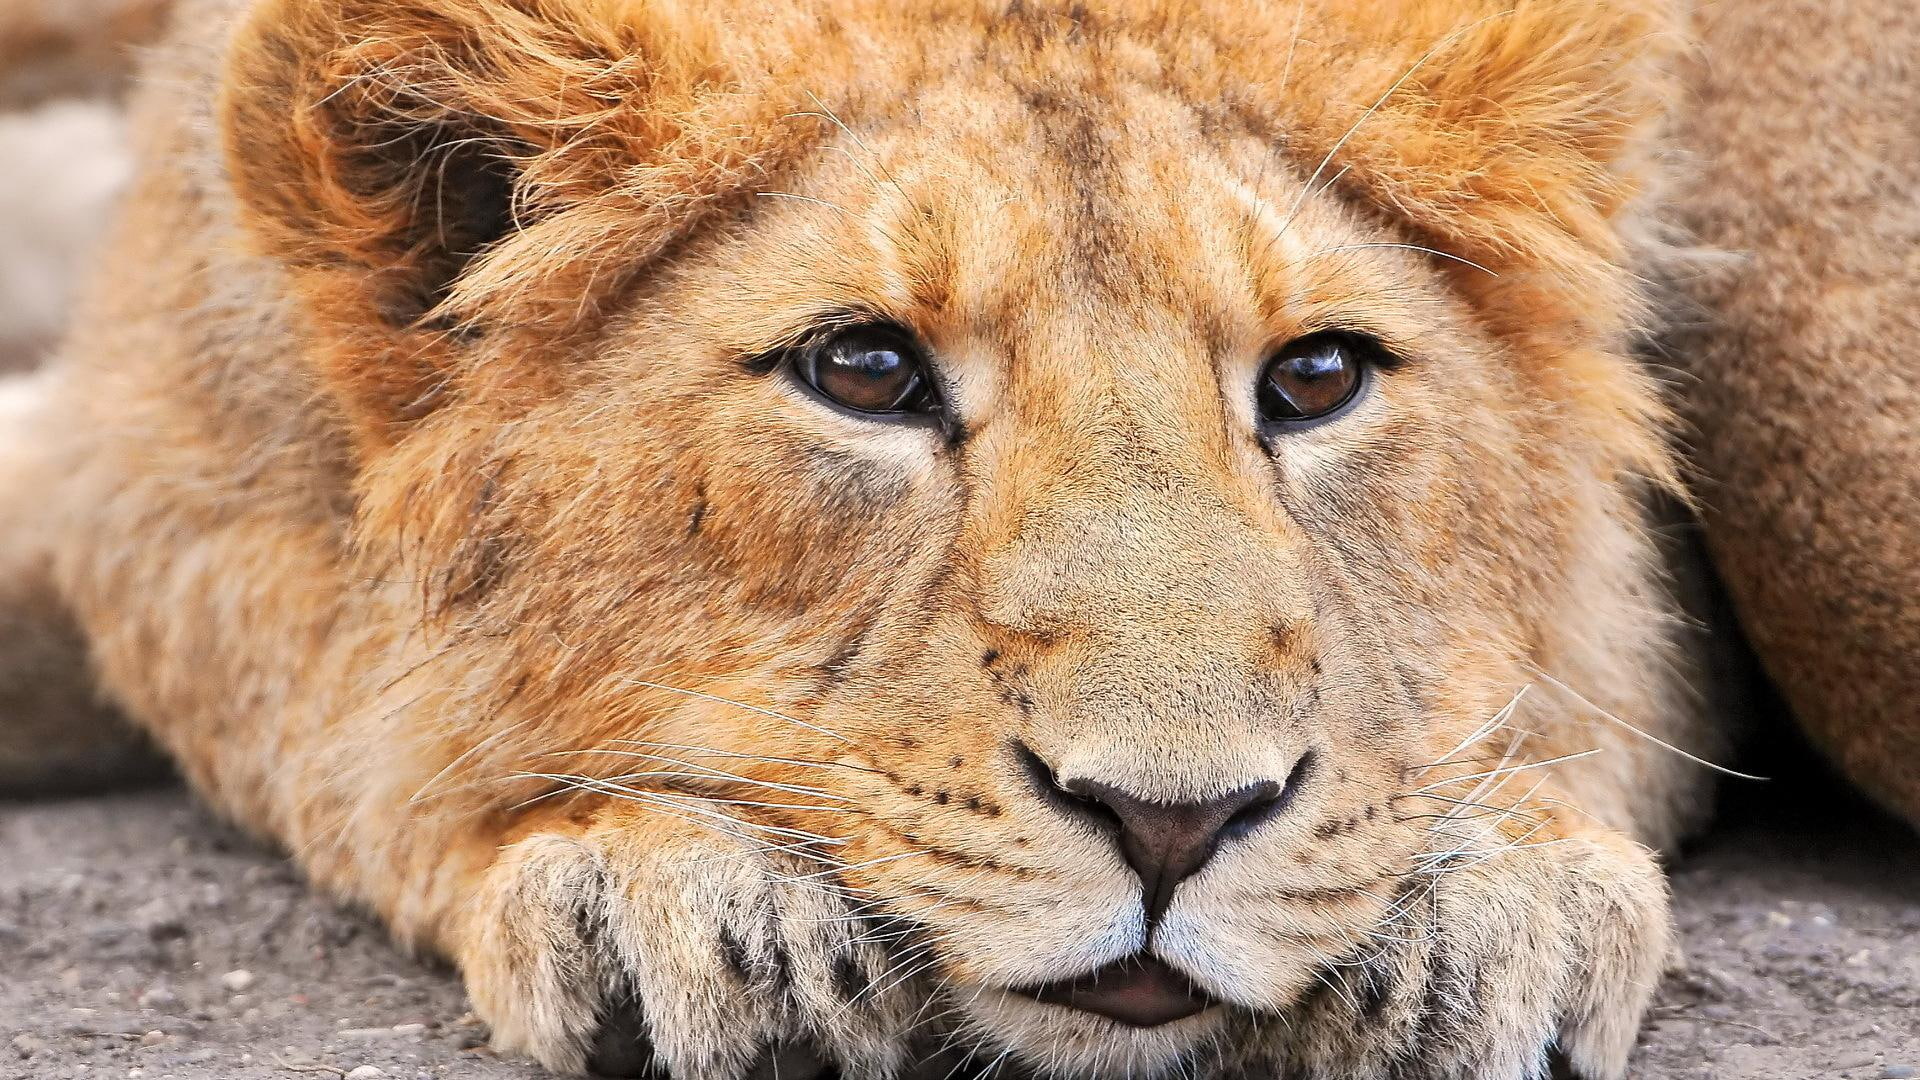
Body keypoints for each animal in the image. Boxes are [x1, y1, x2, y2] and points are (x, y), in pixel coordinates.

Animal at [1, 0, 1915, 1077]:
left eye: (1314, 378)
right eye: (864, 369)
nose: (1171, 825)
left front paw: (1481, 905)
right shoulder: (156, 475)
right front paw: (676, 894)